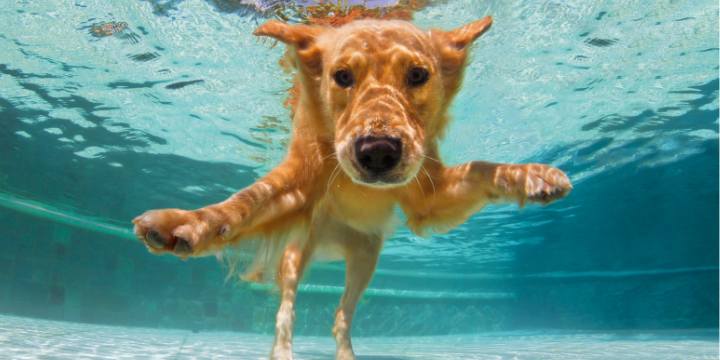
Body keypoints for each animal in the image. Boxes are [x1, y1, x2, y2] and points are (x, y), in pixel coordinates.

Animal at [134, 16, 572, 360]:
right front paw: (186, 224)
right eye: (342, 76)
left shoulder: (428, 196)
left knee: (340, 317)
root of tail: (332, 240)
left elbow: (481, 168)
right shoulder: (296, 184)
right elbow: (242, 204)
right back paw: (282, 351)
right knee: (286, 311)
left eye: (418, 75)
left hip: (366, 257)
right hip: (297, 253)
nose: (378, 152)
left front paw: (533, 175)